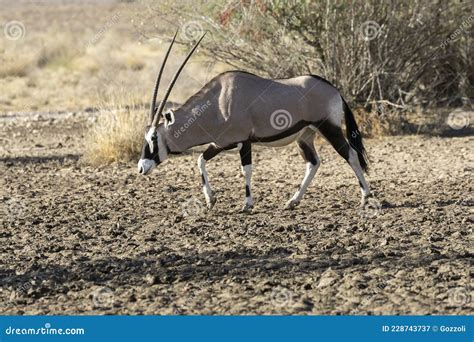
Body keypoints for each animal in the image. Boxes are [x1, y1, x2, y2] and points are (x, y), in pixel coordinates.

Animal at [139, 30, 372, 211]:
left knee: (351, 155)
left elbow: (246, 170)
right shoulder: (220, 143)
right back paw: (293, 201)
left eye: (154, 137)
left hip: (330, 128)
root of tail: (335, 90)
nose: (141, 168)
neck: (217, 102)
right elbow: (200, 160)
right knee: (313, 163)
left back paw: (366, 198)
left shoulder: (244, 141)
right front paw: (210, 200)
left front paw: (247, 204)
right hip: (305, 136)